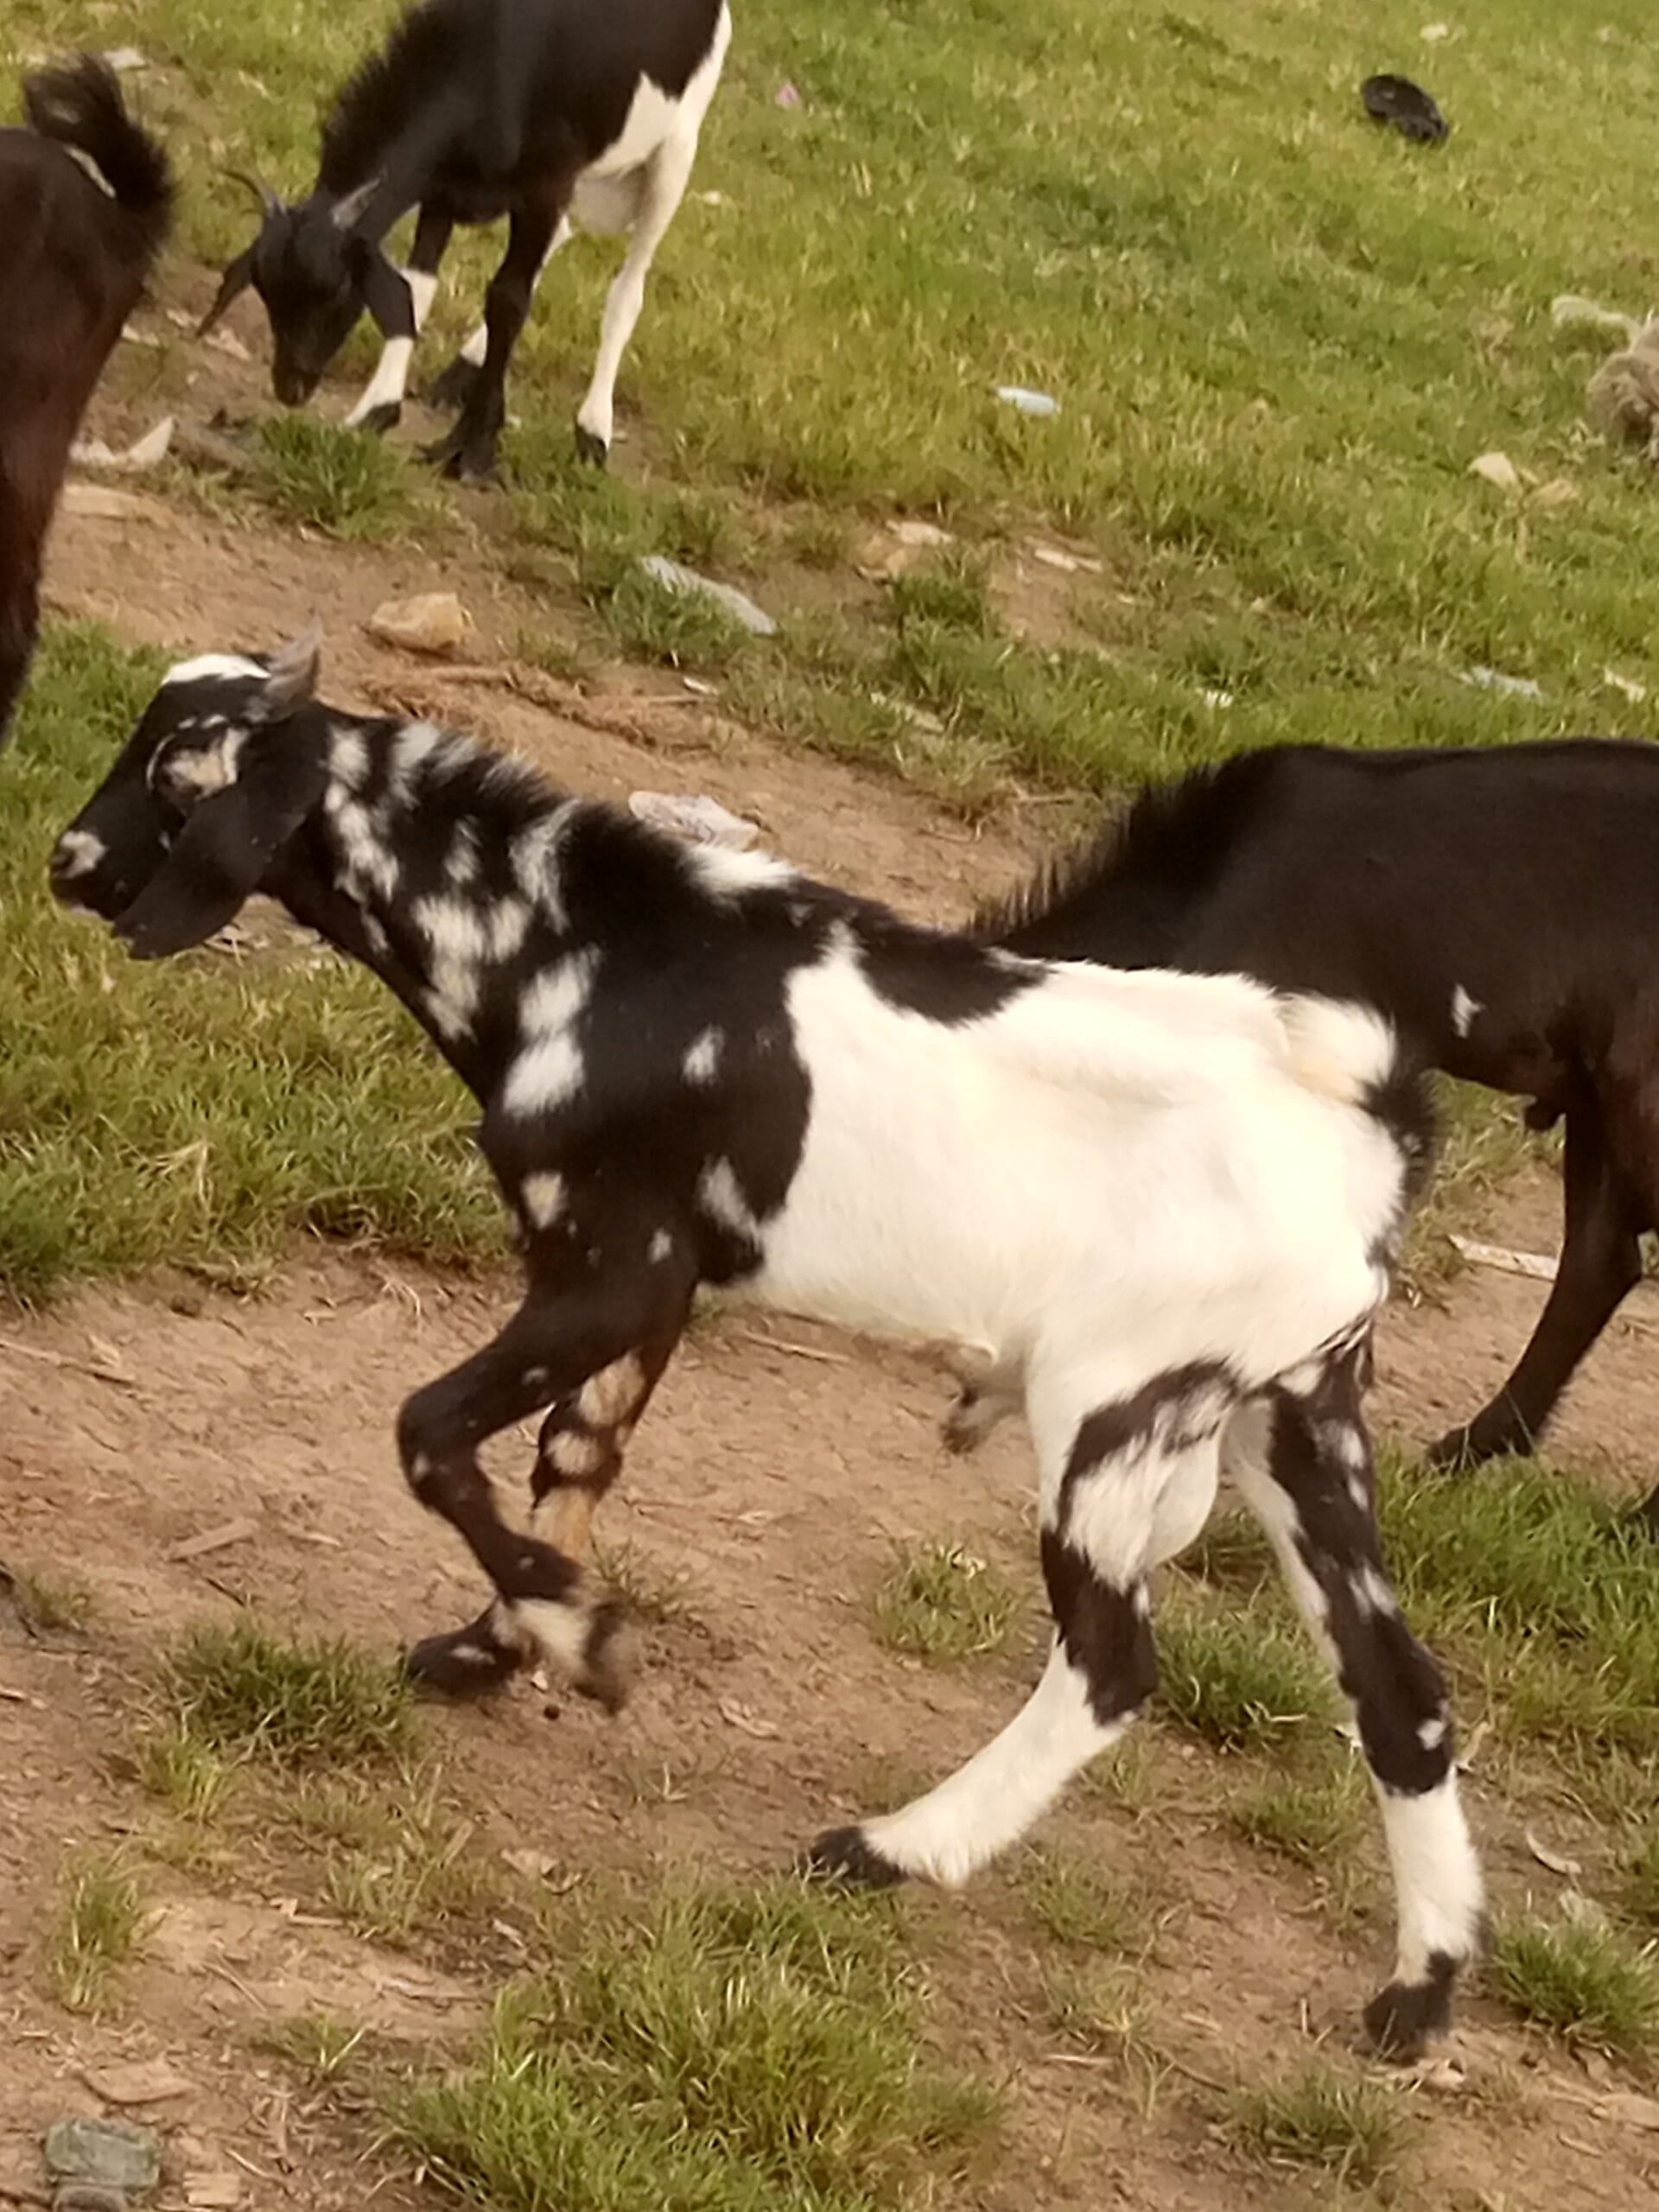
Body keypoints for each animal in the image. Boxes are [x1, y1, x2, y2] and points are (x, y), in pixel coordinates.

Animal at [50, 635, 1481, 2057]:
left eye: (176, 778)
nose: (67, 862)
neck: (586, 951)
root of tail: (1374, 1123)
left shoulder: (613, 1267)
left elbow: (430, 1433)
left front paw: (584, 1640)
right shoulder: (651, 1291)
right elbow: (573, 1458)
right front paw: (503, 1646)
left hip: (1117, 1410)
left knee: (1114, 1664)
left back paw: (896, 1850)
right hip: (1293, 1415)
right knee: (1400, 1695)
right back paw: (1420, 1993)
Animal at [200, 0, 731, 481]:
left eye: (337, 291)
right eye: (267, 291)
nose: (290, 386)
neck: (491, 65)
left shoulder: (546, 186)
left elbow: (508, 299)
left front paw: (471, 448)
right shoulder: (443, 190)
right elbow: (417, 287)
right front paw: (377, 409)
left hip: (673, 157)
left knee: (628, 288)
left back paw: (592, 431)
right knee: (561, 238)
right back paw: (462, 370)